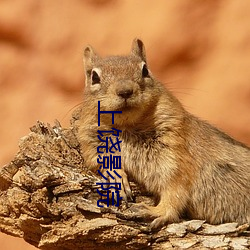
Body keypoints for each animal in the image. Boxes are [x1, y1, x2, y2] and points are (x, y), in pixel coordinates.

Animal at [77, 38, 249, 229]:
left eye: (145, 70)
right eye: (94, 77)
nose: (125, 91)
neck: (127, 127)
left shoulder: (175, 153)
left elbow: (175, 189)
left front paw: (156, 211)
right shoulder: (90, 140)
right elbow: (97, 159)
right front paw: (116, 177)